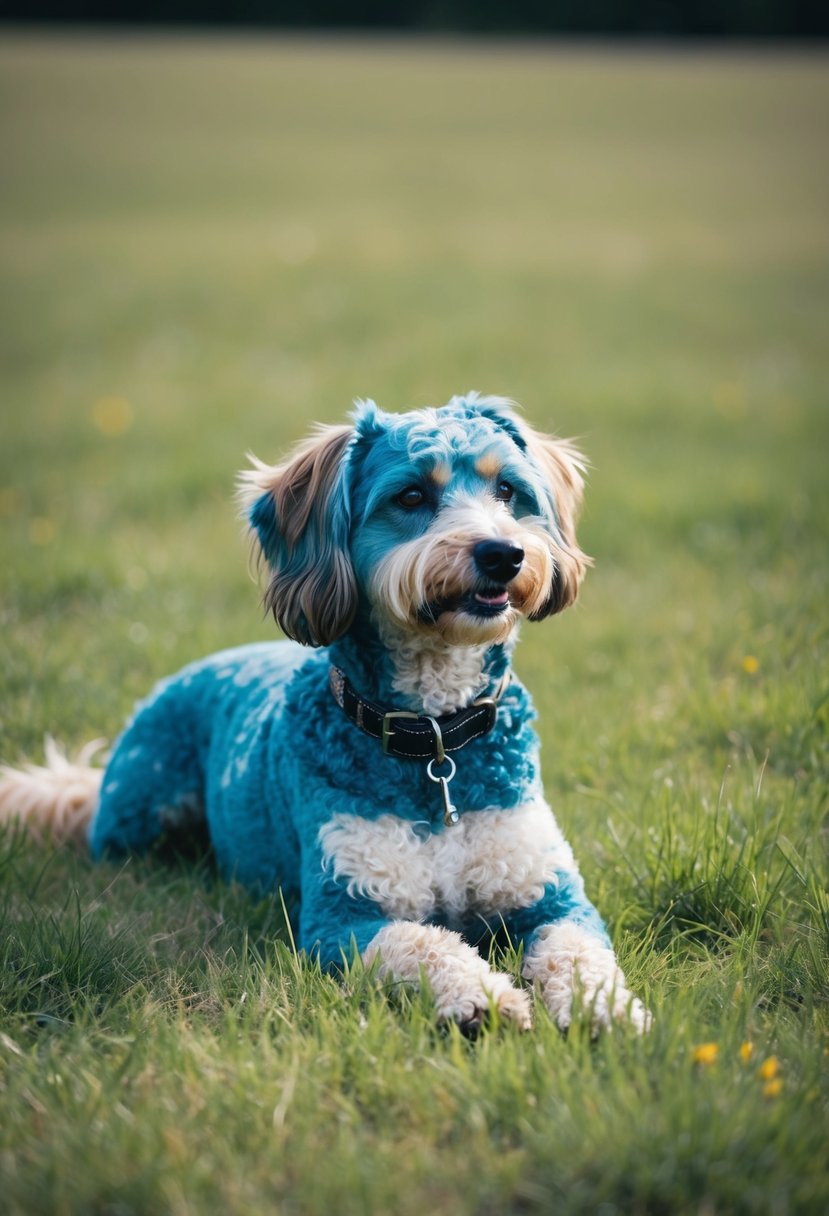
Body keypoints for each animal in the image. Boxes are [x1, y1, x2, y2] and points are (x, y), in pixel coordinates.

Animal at [0, 391, 646, 1036]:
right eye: (411, 496)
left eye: (508, 490)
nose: (503, 553)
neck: (435, 740)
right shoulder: (342, 918)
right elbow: (426, 944)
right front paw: (482, 998)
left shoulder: (554, 896)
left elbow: (577, 949)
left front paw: (606, 1007)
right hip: (139, 818)